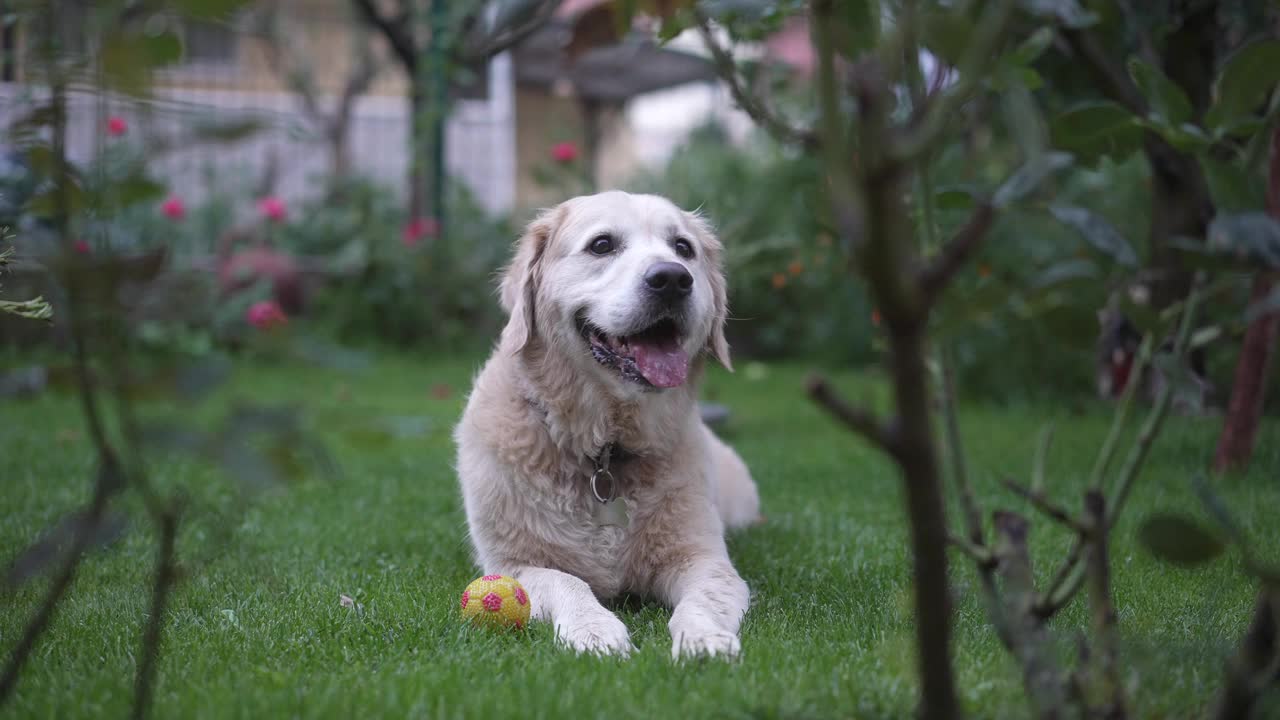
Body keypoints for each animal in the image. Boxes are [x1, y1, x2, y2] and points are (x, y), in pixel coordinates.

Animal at [453, 189, 757, 655]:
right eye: (602, 245)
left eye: (683, 248)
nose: (672, 278)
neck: (604, 450)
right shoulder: (515, 563)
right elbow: (567, 582)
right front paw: (594, 630)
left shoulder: (702, 557)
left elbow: (705, 597)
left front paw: (704, 637)